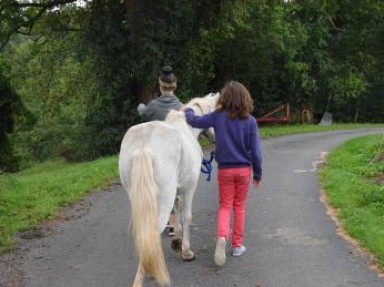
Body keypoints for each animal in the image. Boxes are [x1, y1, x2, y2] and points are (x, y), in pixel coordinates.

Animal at [118, 93, 220, 286]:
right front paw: (186, 251)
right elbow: (186, 216)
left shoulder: (176, 191)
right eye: (214, 112)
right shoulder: (189, 189)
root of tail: (144, 147)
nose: (215, 137)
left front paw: (177, 241)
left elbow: (177, 211)